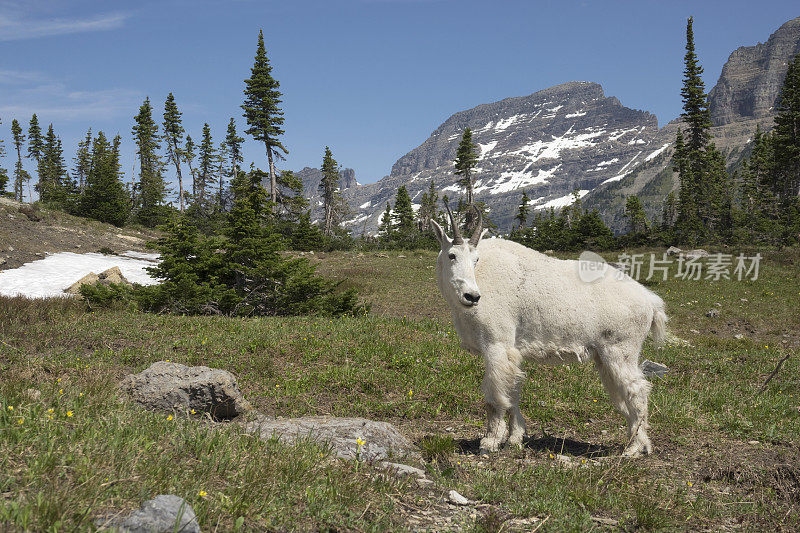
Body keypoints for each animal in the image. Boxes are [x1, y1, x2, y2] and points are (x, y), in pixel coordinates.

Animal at [434, 206, 664, 456]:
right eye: (451, 255)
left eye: (476, 259)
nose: (472, 296)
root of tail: (650, 301)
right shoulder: (513, 352)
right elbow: (513, 391)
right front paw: (515, 438)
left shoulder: (496, 345)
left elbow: (495, 397)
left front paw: (490, 442)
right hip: (605, 358)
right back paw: (636, 442)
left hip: (621, 350)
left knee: (637, 390)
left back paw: (634, 448)